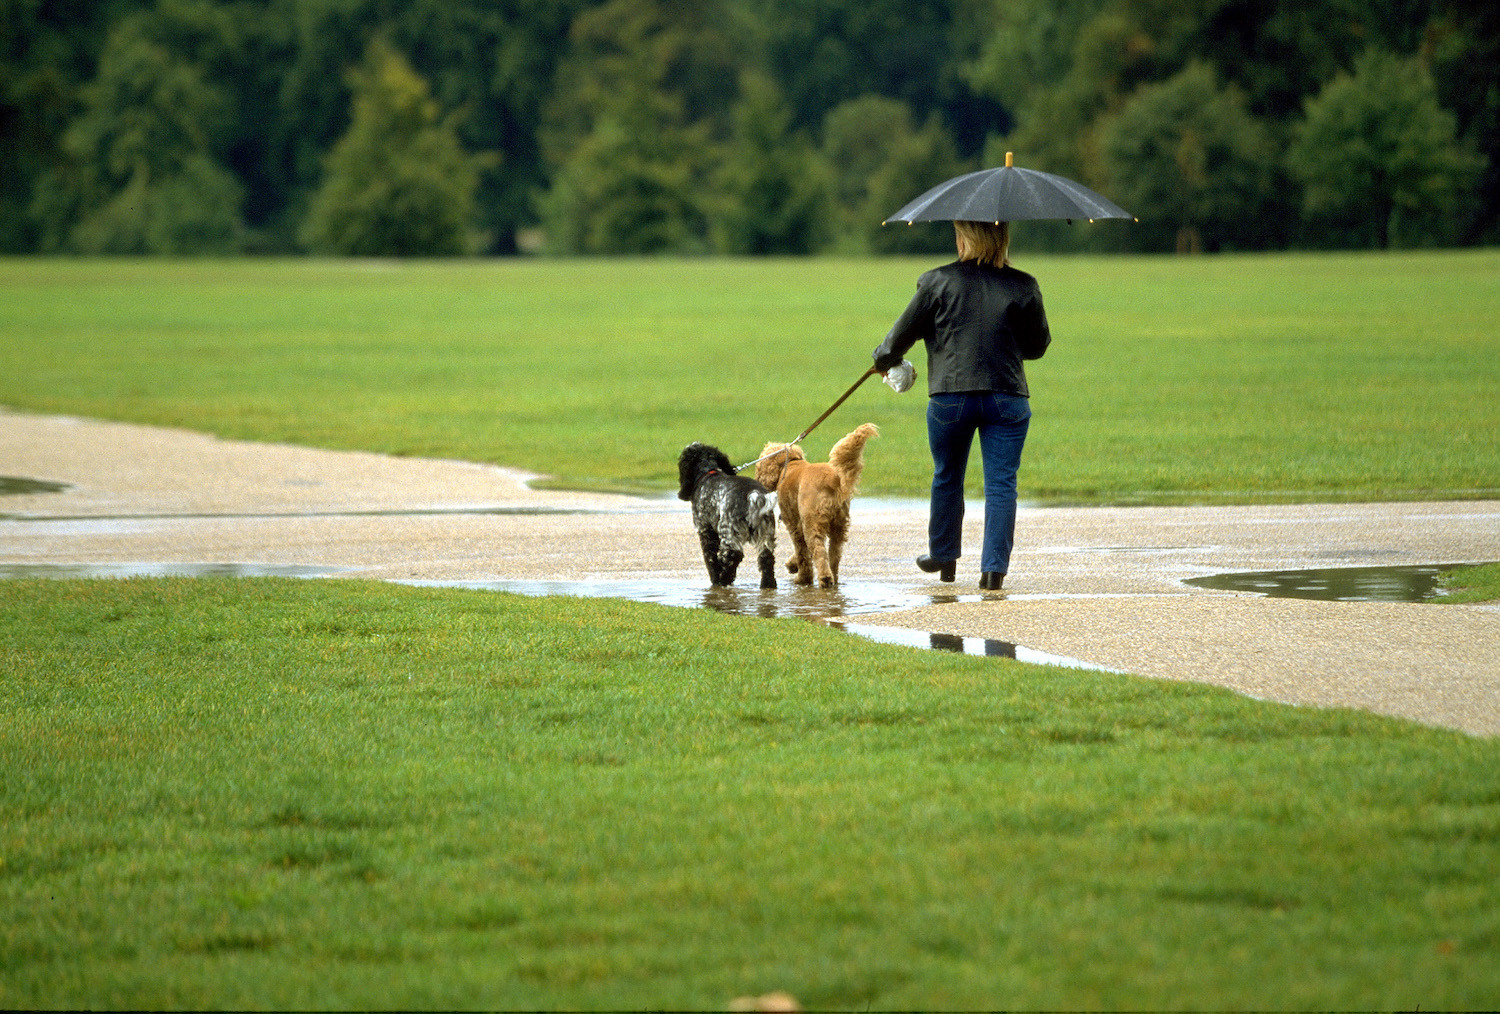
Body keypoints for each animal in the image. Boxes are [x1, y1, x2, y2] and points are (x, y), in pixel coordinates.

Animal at [678, 441, 780, 591]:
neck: (709, 473)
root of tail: (753, 495)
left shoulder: (705, 530)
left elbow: (710, 558)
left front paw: (715, 579)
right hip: (766, 534)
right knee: (767, 559)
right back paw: (768, 585)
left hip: (729, 532)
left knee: (732, 556)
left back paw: (723, 581)